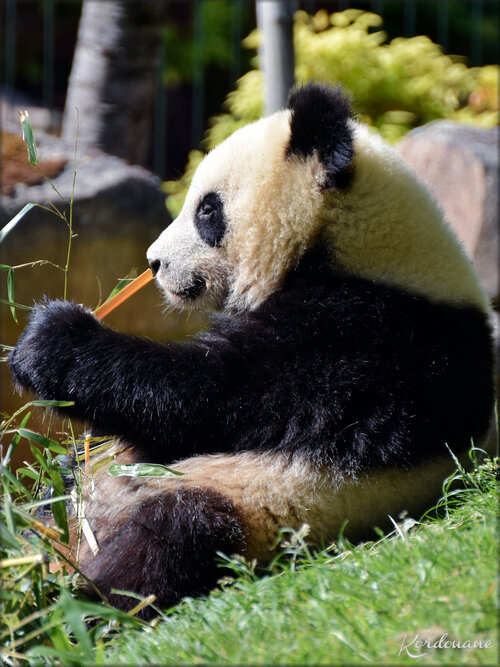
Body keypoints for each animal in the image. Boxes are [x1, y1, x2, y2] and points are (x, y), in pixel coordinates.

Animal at [9, 85, 494, 620]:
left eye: (207, 210)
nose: (154, 263)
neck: (357, 244)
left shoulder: (371, 339)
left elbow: (207, 396)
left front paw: (50, 340)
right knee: (66, 493)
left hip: (251, 510)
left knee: (169, 536)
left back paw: (69, 607)